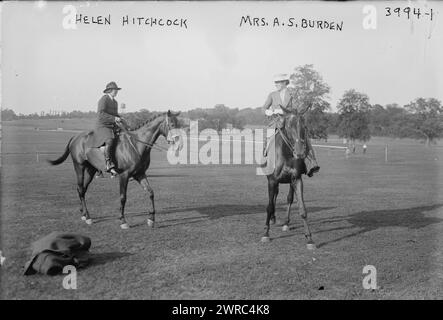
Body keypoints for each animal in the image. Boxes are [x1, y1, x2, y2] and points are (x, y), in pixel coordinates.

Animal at [47, 111, 181, 229]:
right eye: (172, 124)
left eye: (178, 124)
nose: (178, 142)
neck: (136, 145)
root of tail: (76, 137)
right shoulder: (124, 175)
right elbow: (123, 197)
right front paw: (123, 221)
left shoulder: (140, 174)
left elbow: (150, 192)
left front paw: (151, 219)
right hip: (79, 167)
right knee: (80, 188)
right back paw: (88, 217)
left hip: (91, 170)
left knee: (83, 190)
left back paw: (84, 213)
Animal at [262, 105, 318, 250]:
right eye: (288, 126)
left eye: (305, 126)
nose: (300, 152)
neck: (285, 154)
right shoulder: (272, 181)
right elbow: (269, 206)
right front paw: (266, 233)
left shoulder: (296, 179)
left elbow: (302, 208)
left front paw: (309, 239)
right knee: (274, 199)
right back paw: (273, 218)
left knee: (289, 199)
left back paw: (286, 223)